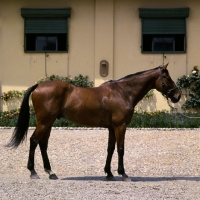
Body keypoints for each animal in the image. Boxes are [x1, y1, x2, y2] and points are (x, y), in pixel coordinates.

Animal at [6, 63, 181, 181]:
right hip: (44, 122)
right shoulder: (120, 126)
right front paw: (123, 174)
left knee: (42, 144)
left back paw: (51, 172)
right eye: (167, 77)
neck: (123, 92)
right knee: (34, 141)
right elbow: (121, 149)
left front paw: (109, 173)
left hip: (48, 123)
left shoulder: (112, 128)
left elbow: (110, 149)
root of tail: (38, 86)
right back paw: (33, 172)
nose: (177, 95)